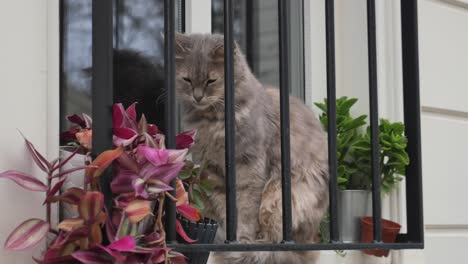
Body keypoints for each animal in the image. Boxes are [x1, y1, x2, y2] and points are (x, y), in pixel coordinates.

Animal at [176, 34, 330, 262]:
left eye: (211, 80)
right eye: (187, 80)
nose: (197, 96)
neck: (213, 122)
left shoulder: (250, 165)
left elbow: (247, 212)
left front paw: (242, 241)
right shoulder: (213, 170)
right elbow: (227, 209)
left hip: (281, 196)